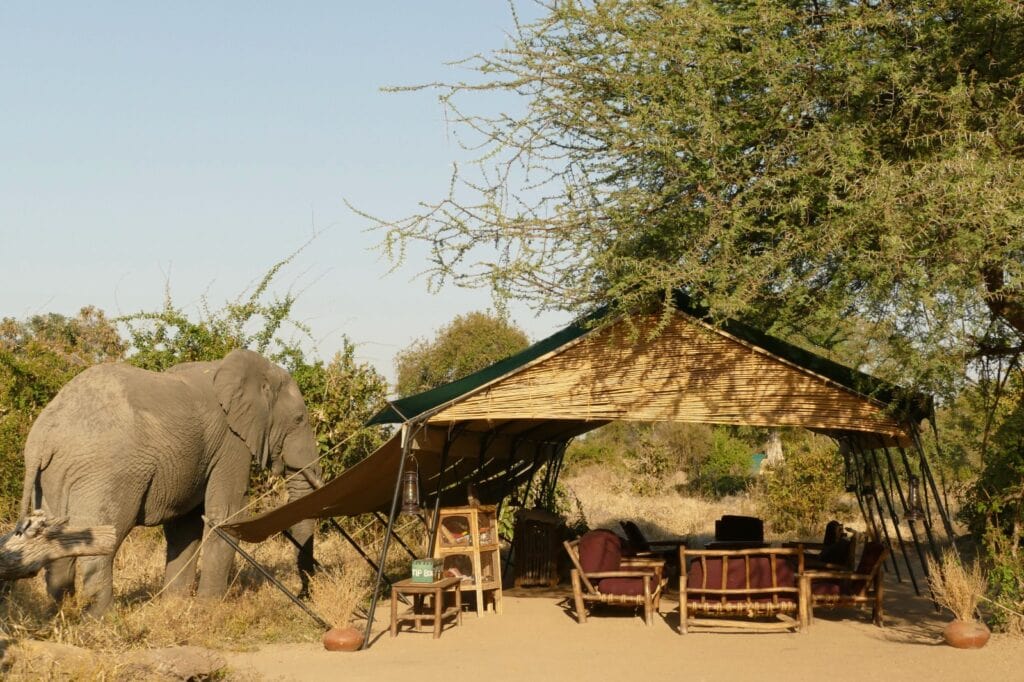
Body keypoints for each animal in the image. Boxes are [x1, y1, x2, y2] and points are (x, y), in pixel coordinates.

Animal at [19, 348, 322, 615]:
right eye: (299, 419)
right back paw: (100, 620)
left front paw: (175, 605)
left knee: (58, 545)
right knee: (101, 544)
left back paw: (60, 617)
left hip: (51, 478)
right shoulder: (230, 443)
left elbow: (185, 527)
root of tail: (43, 436)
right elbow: (224, 515)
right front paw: (209, 610)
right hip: (104, 474)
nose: (305, 594)